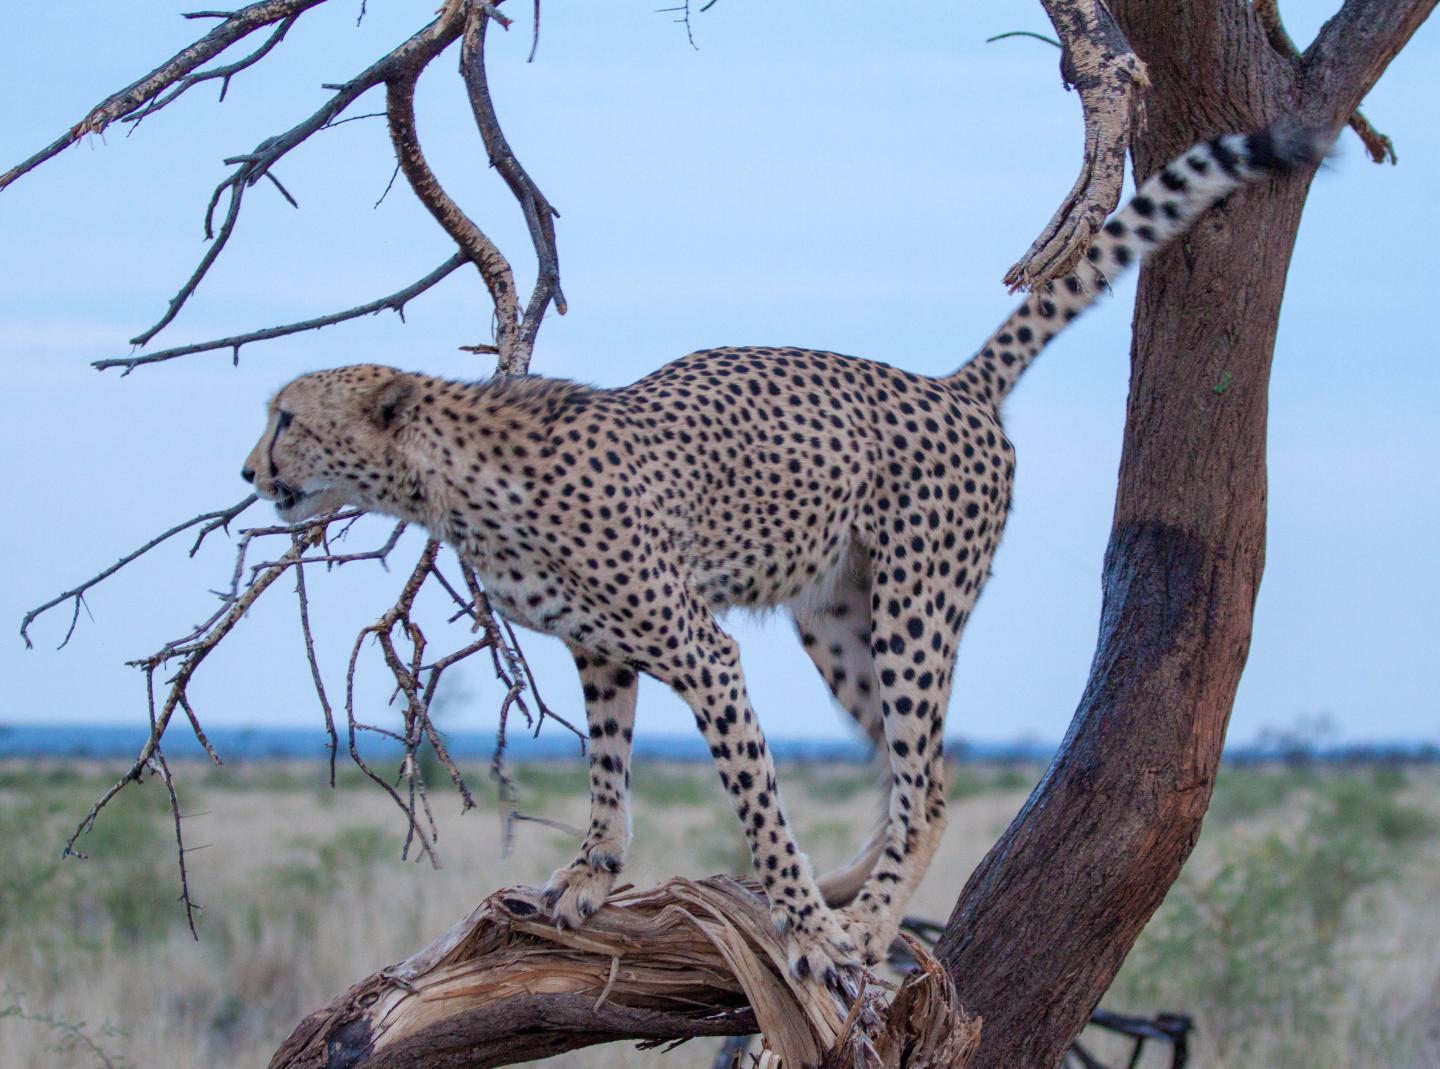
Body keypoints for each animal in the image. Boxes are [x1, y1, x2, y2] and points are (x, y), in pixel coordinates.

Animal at [244, 129, 1324, 991]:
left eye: (287, 417)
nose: (251, 468)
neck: (455, 480)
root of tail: (952, 384)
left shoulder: (700, 648)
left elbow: (756, 800)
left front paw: (802, 932)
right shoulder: (602, 650)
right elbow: (606, 766)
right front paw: (593, 874)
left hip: (914, 608)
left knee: (930, 785)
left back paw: (867, 923)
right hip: (838, 623)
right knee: (905, 768)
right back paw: (855, 885)